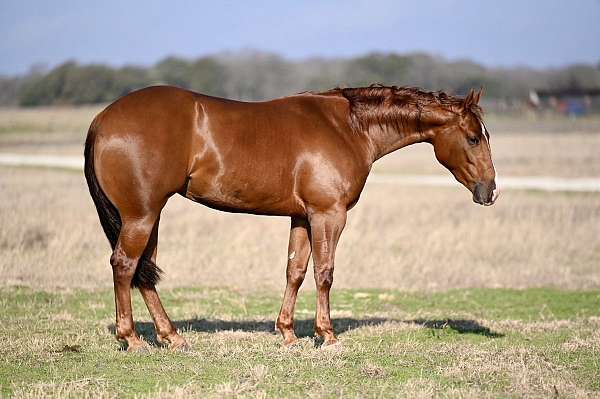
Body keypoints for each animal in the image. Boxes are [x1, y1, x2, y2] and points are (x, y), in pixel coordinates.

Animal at [83, 83, 496, 350]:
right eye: (473, 138)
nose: (490, 191)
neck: (347, 127)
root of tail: (102, 119)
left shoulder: (302, 217)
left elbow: (295, 271)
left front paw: (288, 333)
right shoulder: (329, 215)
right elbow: (324, 273)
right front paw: (326, 335)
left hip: (149, 217)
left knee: (144, 273)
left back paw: (171, 337)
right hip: (141, 215)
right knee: (125, 265)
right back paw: (131, 339)